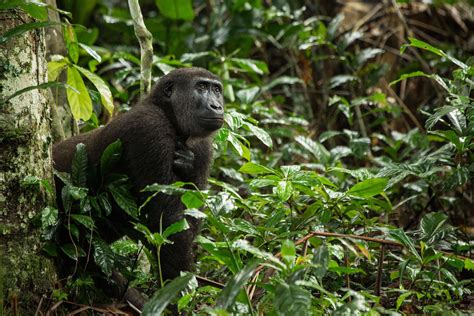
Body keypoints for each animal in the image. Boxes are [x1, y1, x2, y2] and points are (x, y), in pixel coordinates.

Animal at [54, 66, 225, 284]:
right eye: (201, 87)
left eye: (217, 90)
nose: (216, 106)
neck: (168, 113)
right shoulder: (150, 128)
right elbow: (168, 222)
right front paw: (177, 287)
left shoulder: (204, 147)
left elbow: (190, 215)